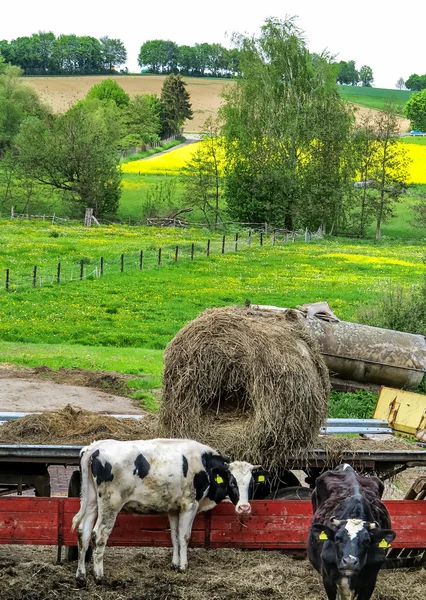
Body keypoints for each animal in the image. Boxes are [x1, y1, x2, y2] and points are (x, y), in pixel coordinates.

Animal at [72, 438, 266, 584]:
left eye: (251, 484)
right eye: (232, 482)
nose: (244, 508)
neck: (204, 463)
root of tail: (94, 447)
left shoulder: (173, 509)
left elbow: (174, 536)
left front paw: (174, 563)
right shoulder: (190, 505)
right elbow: (185, 536)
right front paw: (183, 566)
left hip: (91, 502)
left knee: (84, 532)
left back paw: (81, 576)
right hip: (110, 504)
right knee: (99, 534)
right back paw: (99, 576)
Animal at [306, 464, 396, 600]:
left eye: (367, 541)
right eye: (337, 538)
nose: (349, 562)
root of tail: (347, 467)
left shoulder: (370, 582)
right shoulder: (328, 580)